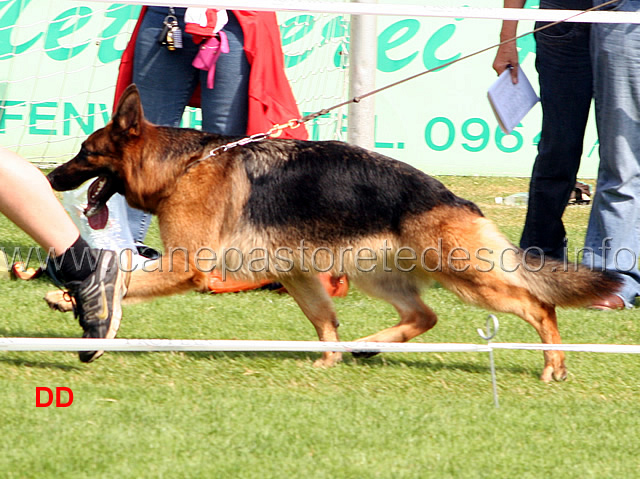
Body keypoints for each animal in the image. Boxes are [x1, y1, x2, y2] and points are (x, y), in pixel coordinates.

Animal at [48, 85, 620, 382]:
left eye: (85, 152)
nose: (50, 179)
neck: (183, 165)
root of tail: (454, 198)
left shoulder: (190, 265)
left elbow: (128, 278)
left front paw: (76, 298)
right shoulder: (297, 273)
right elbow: (324, 320)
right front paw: (328, 358)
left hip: (467, 279)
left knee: (538, 306)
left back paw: (553, 363)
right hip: (380, 277)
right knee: (424, 315)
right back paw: (365, 346)